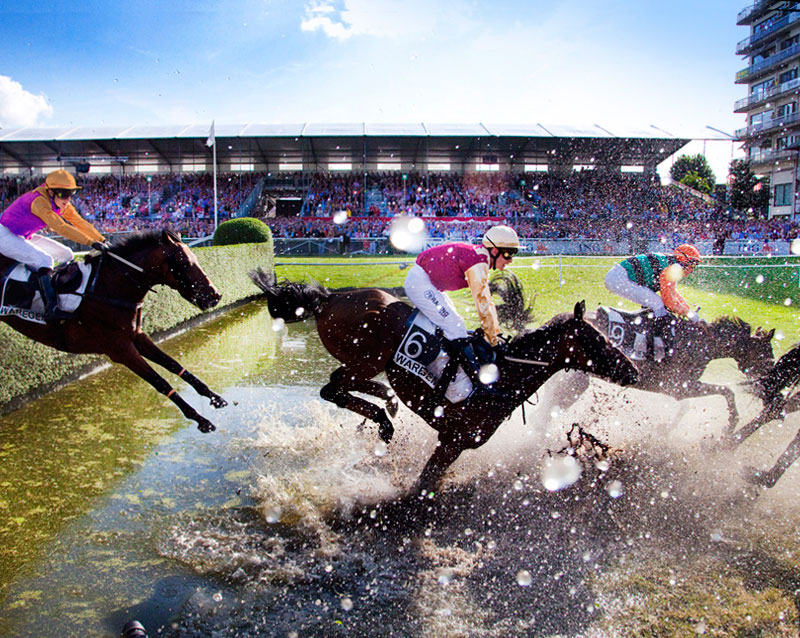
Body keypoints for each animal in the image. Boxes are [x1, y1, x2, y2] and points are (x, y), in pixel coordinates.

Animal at [0, 230, 227, 436]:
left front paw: (214, 397)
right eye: (184, 263)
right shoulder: (120, 349)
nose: (214, 296)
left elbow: (174, 365)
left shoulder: (137, 336)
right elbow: (160, 382)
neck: (108, 287)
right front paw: (200, 420)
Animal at [250, 272, 636, 492]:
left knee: (349, 387)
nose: (632, 370)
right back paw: (383, 421)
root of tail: (329, 297)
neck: (502, 377)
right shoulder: (452, 441)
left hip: (366, 363)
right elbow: (423, 485)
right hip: (368, 359)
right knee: (331, 387)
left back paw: (387, 405)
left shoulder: (453, 443)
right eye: (598, 340)